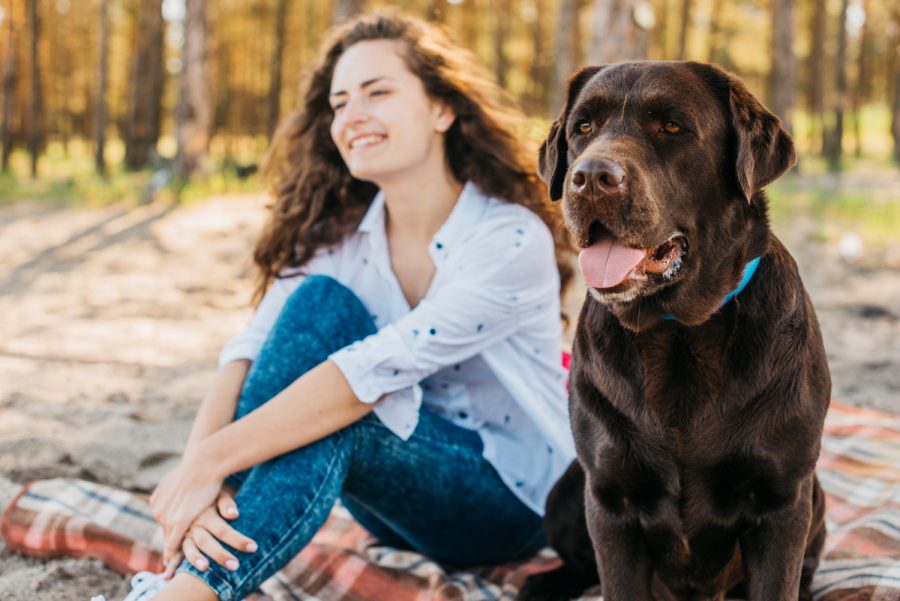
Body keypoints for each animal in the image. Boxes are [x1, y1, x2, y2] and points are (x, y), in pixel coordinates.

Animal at [520, 61, 828, 600]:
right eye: (584, 128)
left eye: (671, 127)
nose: (590, 178)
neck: (677, 335)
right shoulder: (610, 499)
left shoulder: (782, 500)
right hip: (567, 490)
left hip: (817, 494)